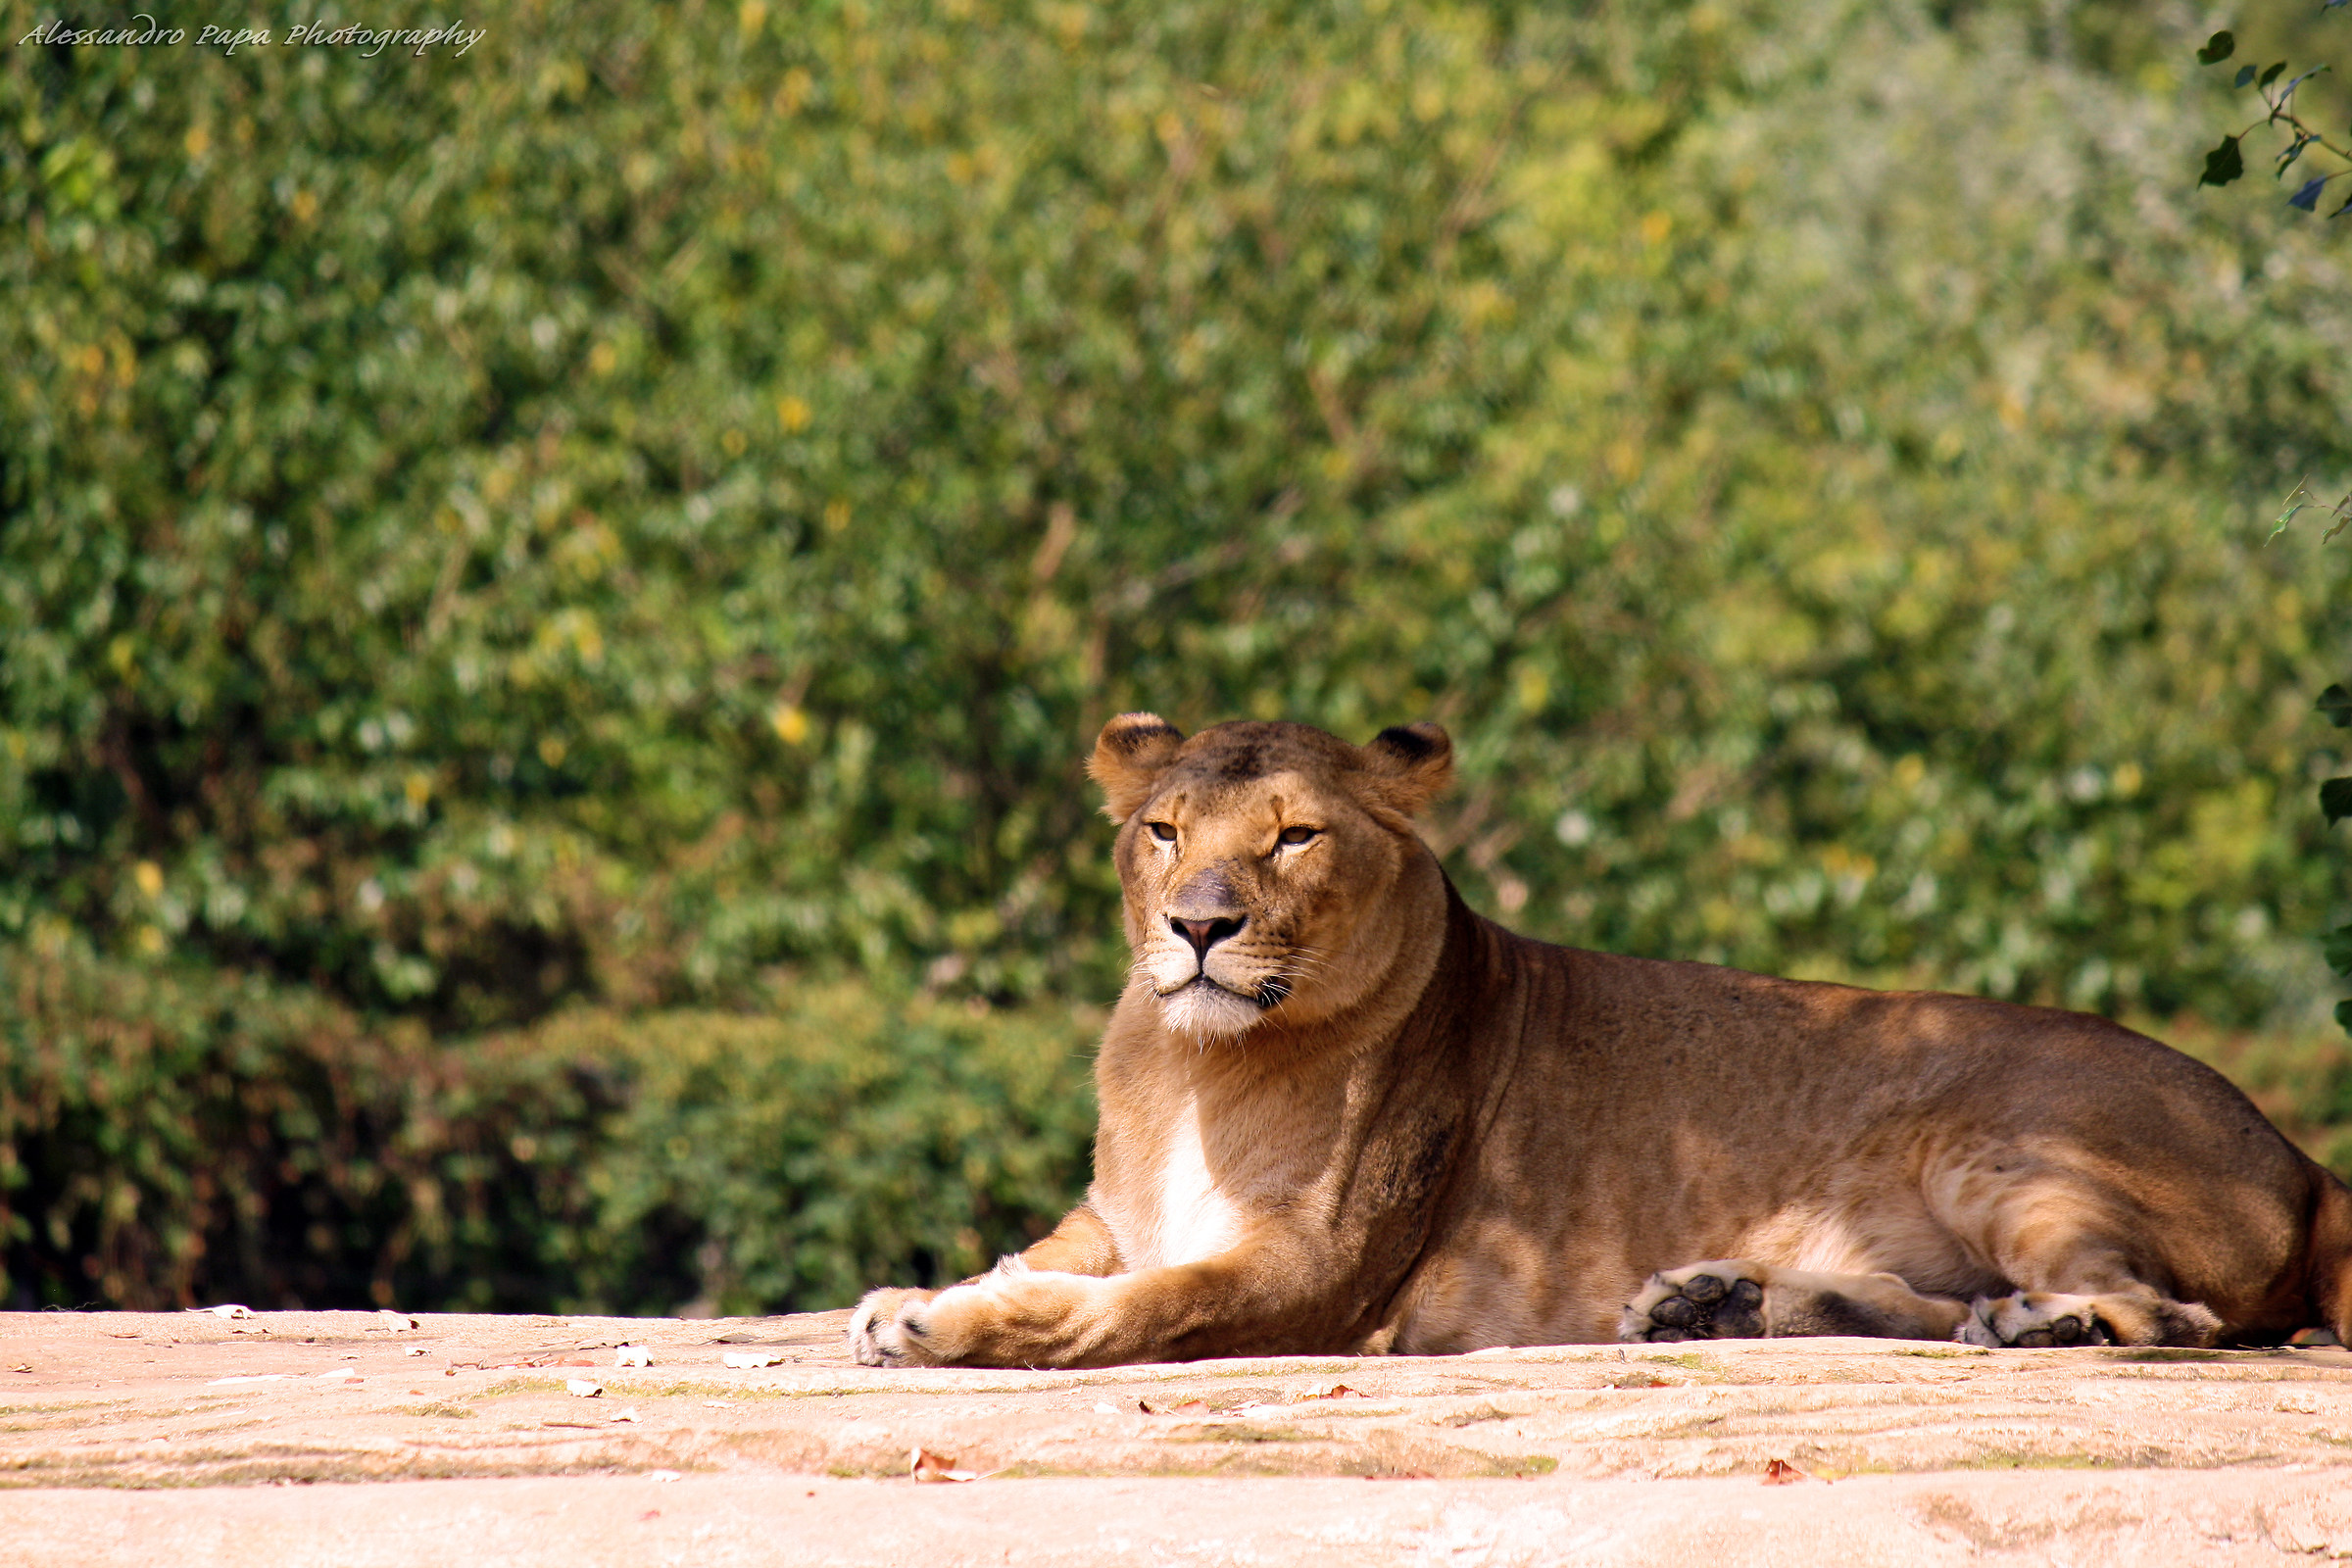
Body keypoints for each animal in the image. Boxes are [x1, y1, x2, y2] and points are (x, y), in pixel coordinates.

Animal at [848, 715, 2352, 1367]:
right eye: (1163, 829)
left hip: (2004, 1143)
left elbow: (1141, 1306)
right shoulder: (1118, 1215)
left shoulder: (1318, 1278)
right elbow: (1057, 1257)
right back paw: (1726, 1303)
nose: (1200, 926)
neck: (1191, 1065)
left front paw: (955, 1321)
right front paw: (929, 1290)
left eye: (1294, 836)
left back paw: (2037, 1321)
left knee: (2176, 1317)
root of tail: (2305, 1158)